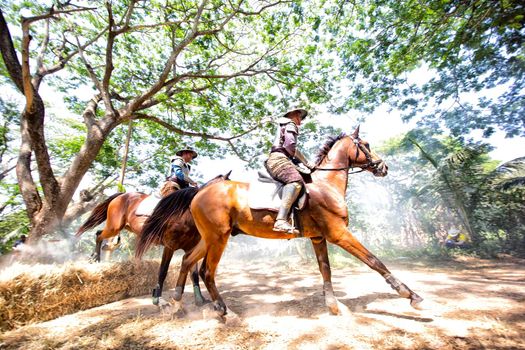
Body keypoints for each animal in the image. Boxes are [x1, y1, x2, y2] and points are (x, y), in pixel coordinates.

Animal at [142, 127, 422, 316]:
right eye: (365, 143)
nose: (383, 167)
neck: (325, 185)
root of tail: (199, 191)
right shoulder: (339, 234)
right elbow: (375, 261)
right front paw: (410, 295)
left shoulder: (318, 237)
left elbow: (325, 269)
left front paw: (332, 305)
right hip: (217, 238)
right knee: (206, 271)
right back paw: (221, 308)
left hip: (210, 238)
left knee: (188, 262)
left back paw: (177, 301)